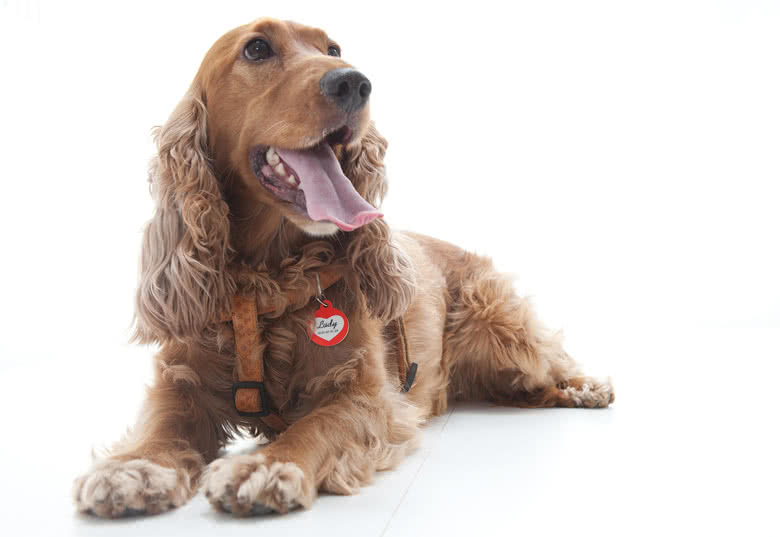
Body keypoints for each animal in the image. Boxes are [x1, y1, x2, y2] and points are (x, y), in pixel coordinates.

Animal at [71, 18, 616, 516]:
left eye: (332, 48)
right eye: (256, 48)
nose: (354, 82)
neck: (267, 281)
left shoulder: (366, 393)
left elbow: (316, 425)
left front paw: (266, 465)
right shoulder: (181, 379)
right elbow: (162, 427)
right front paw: (135, 468)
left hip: (503, 329)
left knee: (549, 360)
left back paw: (586, 388)